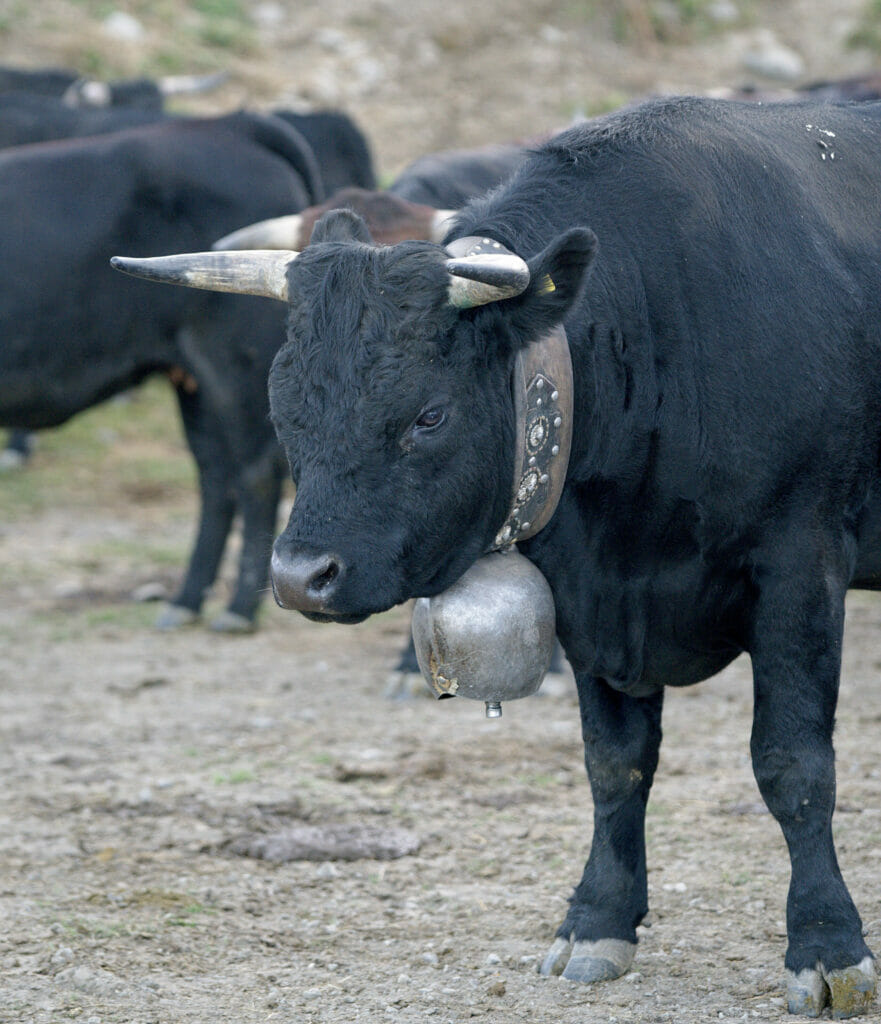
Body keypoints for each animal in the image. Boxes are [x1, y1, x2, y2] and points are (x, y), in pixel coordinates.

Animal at [113, 97, 881, 1015]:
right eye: (283, 401)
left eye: (428, 414)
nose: (299, 578)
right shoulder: (592, 599)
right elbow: (614, 764)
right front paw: (596, 921)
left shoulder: (799, 567)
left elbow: (793, 765)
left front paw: (828, 948)